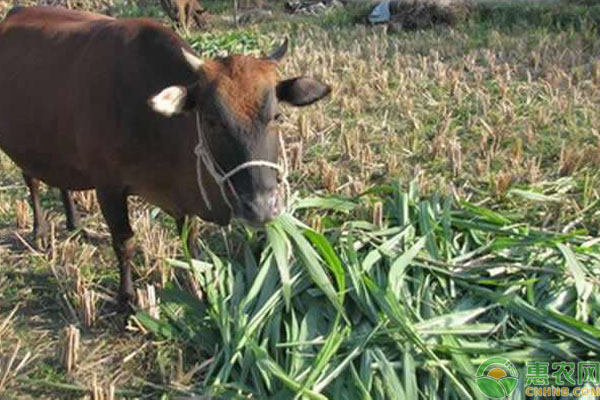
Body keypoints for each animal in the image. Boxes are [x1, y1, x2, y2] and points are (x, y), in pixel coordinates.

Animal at [0, 7, 330, 310]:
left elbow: (191, 243)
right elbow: (124, 243)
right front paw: (126, 300)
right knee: (31, 181)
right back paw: (40, 231)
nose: (261, 208)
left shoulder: (183, 201)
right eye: (211, 120)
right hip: (21, 146)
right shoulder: (108, 188)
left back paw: (75, 223)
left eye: (277, 116)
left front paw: (200, 289)